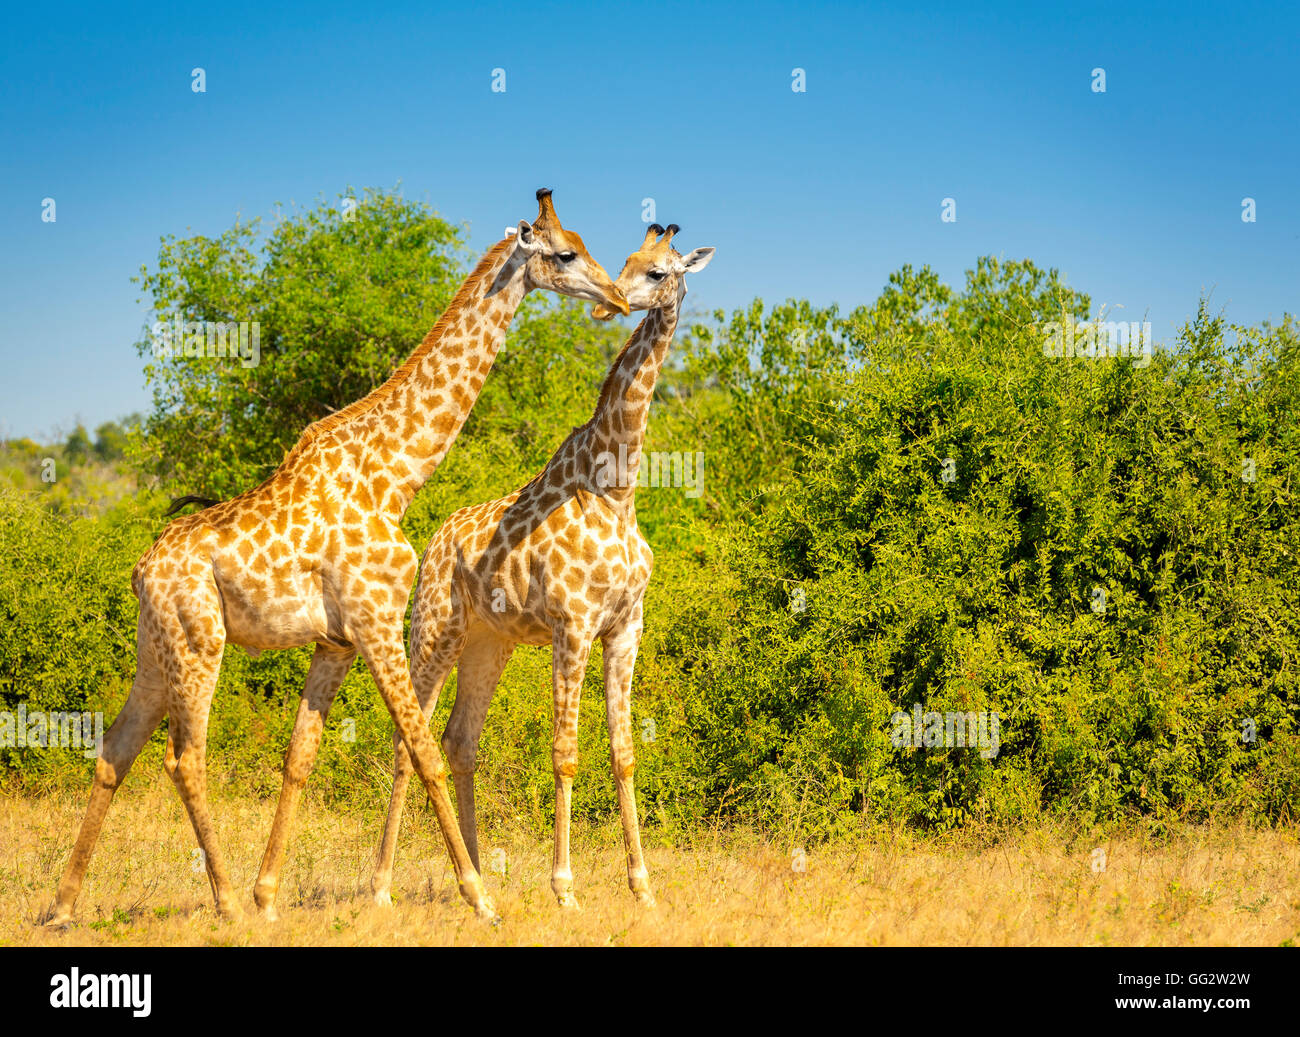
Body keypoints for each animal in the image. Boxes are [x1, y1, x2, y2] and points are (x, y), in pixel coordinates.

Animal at [49, 188, 634, 925]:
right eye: (563, 255)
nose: (616, 295)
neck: (395, 474)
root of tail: (139, 571)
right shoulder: (377, 618)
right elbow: (423, 751)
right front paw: (478, 898)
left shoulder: (336, 640)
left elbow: (300, 755)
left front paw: (270, 895)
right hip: (199, 641)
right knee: (185, 759)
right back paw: (224, 902)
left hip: (156, 650)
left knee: (115, 749)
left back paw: (64, 905)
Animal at [366, 224, 717, 909]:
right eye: (628, 261)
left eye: (658, 271)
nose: (612, 304)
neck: (618, 487)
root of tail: (435, 540)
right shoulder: (573, 625)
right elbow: (565, 753)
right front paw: (565, 889)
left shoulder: (625, 626)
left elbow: (623, 752)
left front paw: (642, 887)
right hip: (434, 631)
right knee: (407, 741)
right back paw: (385, 888)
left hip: (489, 642)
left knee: (460, 740)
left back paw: (474, 879)